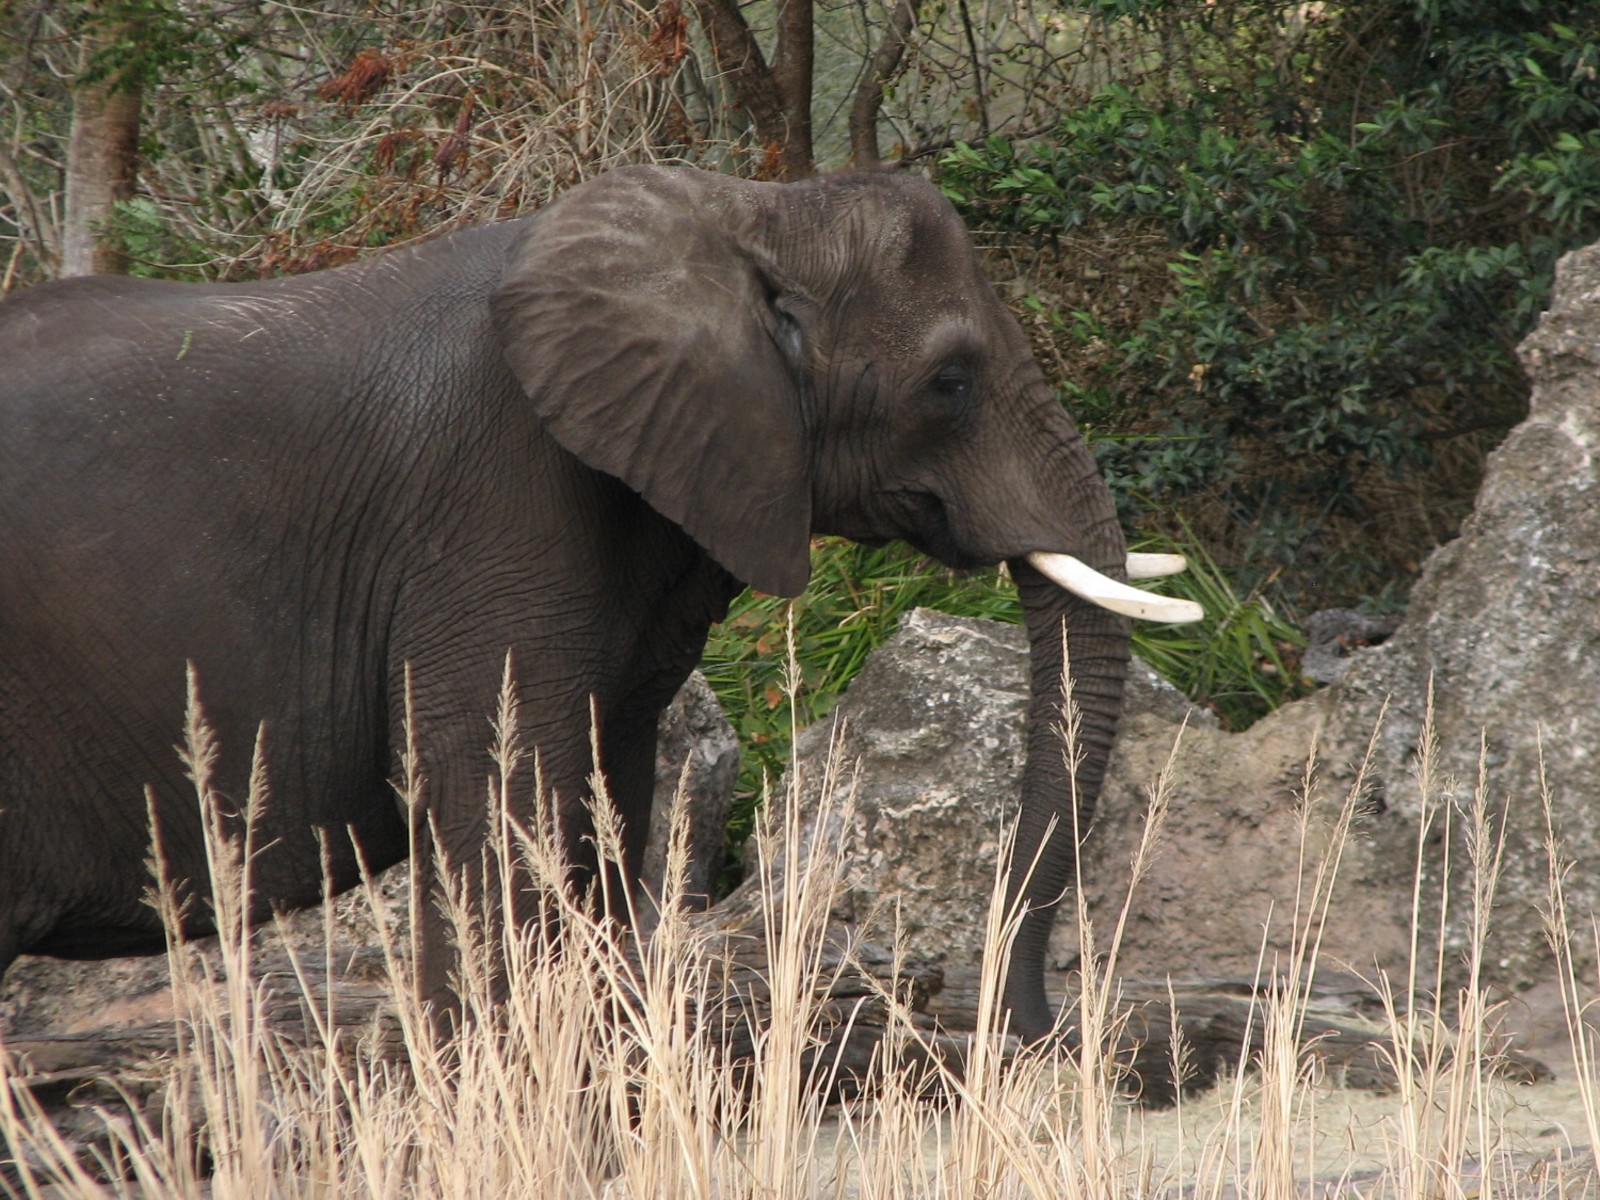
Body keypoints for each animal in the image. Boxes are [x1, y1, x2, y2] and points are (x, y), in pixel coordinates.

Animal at [0, 165, 1198, 1042]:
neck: (745, 212)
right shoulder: (492, 507)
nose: (1031, 1025)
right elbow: (500, 803)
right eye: (950, 383)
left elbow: (603, 801)